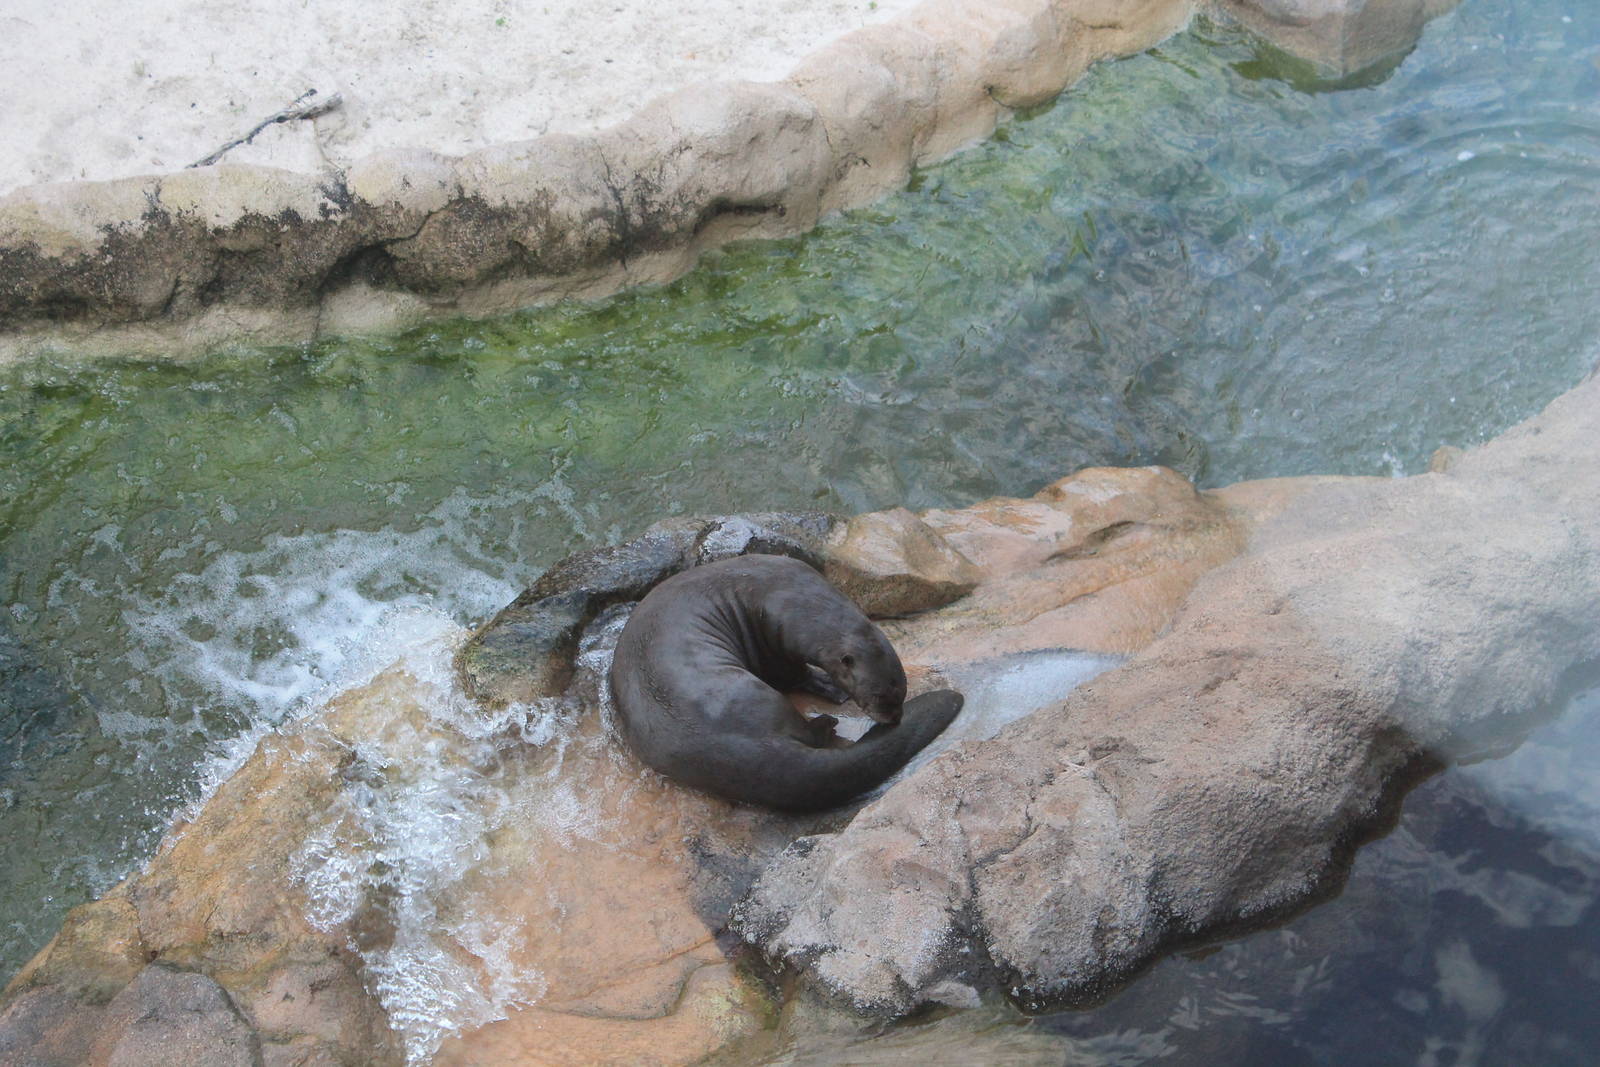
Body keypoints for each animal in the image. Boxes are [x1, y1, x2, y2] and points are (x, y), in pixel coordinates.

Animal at [608, 554, 963, 811]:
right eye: (878, 695)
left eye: (900, 690)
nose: (895, 717)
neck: (792, 592)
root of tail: (739, 748)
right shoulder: (771, 641)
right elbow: (791, 674)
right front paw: (828, 684)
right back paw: (827, 722)